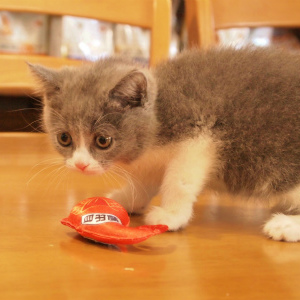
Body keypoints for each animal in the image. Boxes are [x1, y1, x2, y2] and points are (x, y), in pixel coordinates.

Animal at [29, 48, 300, 243]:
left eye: (103, 141)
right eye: (64, 138)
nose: (81, 165)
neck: (159, 115)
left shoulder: (199, 136)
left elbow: (179, 180)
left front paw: (171, 216)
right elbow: (145, 179)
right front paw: (128, 199)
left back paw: (286, 225)